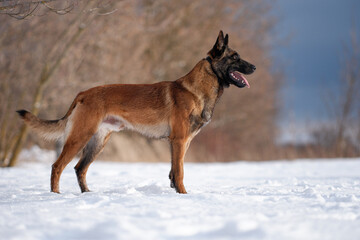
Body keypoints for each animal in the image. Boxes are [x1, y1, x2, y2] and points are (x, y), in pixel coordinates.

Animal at [16, 31, 256, 194]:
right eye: (235, 57)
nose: (254, 67)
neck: (198, 88)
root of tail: (82, 93)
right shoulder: (179, 141)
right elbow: (180, 172)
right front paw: (184, 195)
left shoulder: (183, 142)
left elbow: (174, 171)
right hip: (79, 137)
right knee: (58, 166)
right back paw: (56, 195)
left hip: (98, 142)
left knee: (79, 168)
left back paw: (87, 195)